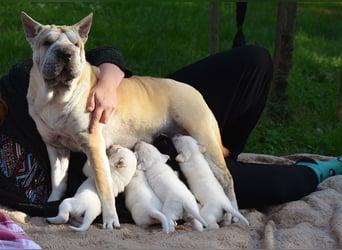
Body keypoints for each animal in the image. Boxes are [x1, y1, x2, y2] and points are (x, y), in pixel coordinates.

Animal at [20, 12, 235, 229]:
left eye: (76, 44)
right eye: (47, 43)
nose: (66, 53)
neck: (56, 97)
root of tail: (195, 92)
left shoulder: (94, 147)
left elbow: (104, 187)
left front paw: (110, 219)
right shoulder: (55, 147)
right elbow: (58, 181)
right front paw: (51, 202)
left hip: (205, 138)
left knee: (227, 178)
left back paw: (230, 215)